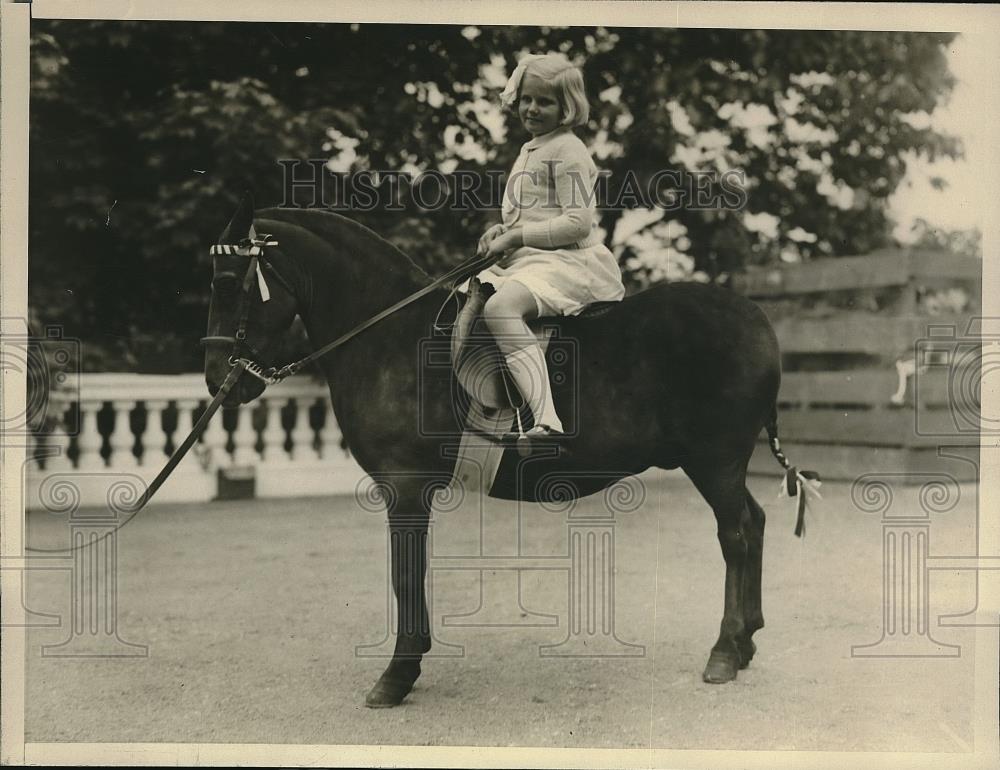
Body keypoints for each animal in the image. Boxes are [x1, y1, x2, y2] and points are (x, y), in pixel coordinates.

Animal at [201, 196, 796, 704]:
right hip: (725, 466)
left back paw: (725, 650)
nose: (216, 380)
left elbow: (405, 574)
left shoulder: (405, 489)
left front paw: (398, 674)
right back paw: (747, 640)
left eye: (229, 284)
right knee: (756, 521)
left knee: (736, 536)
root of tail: (755, 318)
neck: (389, 334)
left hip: (715, 462)